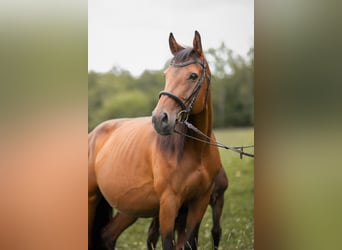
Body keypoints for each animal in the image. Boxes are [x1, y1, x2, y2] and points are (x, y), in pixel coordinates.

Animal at [88, 31, 222, 250]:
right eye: (166, 75)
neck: (196, 152)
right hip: (91, 200)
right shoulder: (168, 204)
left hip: (129, 207)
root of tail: (93, 135)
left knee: (107, 235)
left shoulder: (199, 202)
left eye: (193, 76)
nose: (160, 119)